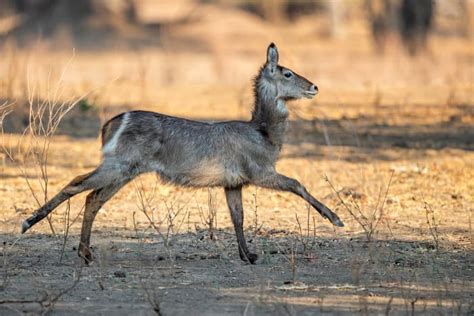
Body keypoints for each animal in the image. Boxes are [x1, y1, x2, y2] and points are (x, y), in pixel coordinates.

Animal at [22, 43, 342, 262]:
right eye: (288, 73)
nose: (315, 86)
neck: (263, 132)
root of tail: (110, 123)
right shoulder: (261, 172)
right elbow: (297, 184)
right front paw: (336, 219)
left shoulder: (233, 183)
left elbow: (237, 217)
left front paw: (247, 255)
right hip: (117, 166)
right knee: (76, 183)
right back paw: (28, 223)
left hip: (125, 172)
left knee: (93, 198)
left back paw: (86, 253)